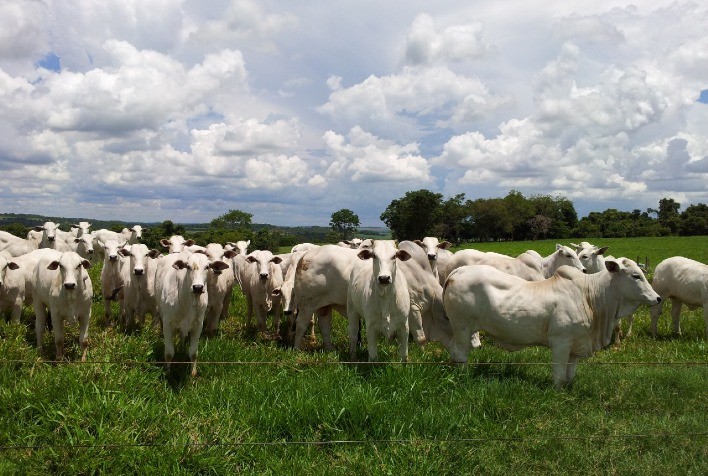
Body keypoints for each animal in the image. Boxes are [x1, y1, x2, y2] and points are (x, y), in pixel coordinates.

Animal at [446, 258, 660, 388]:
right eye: (635, 276)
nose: (657, 298)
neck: (591, 296)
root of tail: (457, 271)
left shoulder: (577, 345)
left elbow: (570, 373)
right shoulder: (561, 342)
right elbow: (558, 373)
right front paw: (558, 391)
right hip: (462, 327)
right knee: (460, 353)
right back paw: (464, 376)